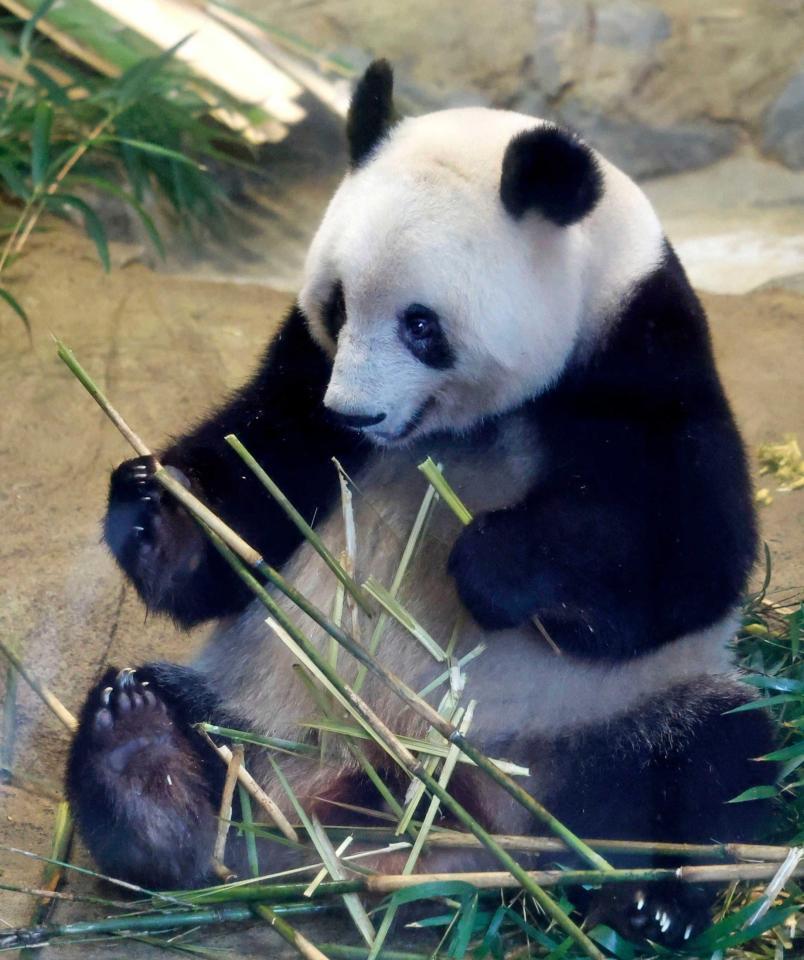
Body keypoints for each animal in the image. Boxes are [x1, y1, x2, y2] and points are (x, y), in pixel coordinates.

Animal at [67, 63, 772, 948]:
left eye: (422, 326)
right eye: (338, 305)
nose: (355, 414)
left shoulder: (643, 354)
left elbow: (692, 558)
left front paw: (496, 562)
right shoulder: (303, 371)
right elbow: (254, 494)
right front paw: (156, 509)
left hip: (601, 719)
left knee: (710, 761)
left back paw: (648, 902)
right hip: (271, 720)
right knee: (202, 747)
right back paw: (145, 768)